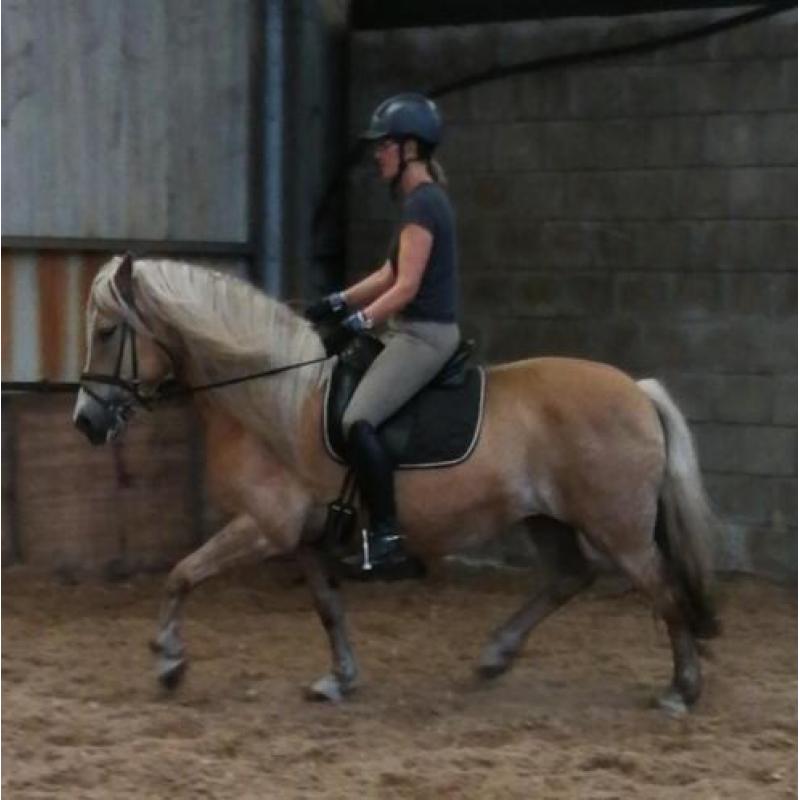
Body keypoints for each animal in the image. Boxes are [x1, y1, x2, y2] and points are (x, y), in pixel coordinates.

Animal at [72, 254, 720, 715]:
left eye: (106, 332)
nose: (86, 422)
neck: (271, 401)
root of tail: (638, 390)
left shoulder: (263, 527)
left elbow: (182, 574)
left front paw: (168, 663)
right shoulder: (302, 538)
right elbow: (328, 607)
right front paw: (339, 679)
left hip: (618, 528)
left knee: (662, 589)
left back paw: (680, 690)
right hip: (548, 518)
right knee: (571, 577)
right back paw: (496, 656)